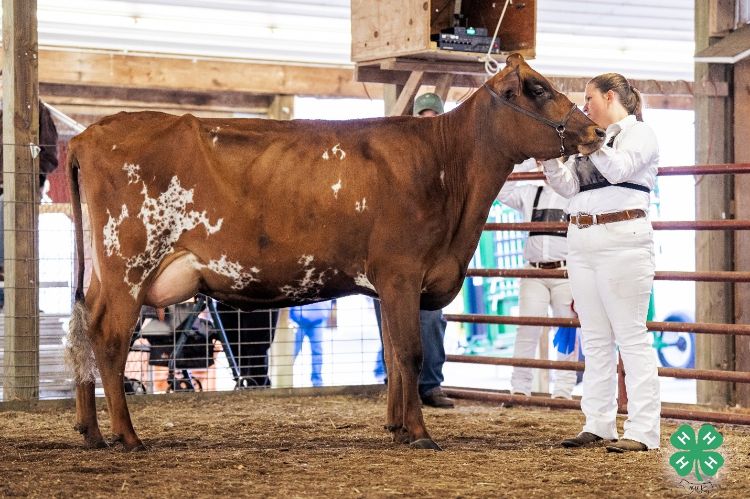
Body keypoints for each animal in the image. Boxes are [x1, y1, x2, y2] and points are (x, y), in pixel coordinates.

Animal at [64, 54, 604, 451]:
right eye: (537, 88)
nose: (596, 131)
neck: (447, 168)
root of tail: (89, 133)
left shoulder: (387, 284)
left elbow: (392, 354)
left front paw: (396, 428)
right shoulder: (402, 273)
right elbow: (410, 352)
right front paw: (420, 434)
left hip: (105, 272)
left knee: (84, 328)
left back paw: (91, 432)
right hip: (129, 265)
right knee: (109, 339)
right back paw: (128, 437)